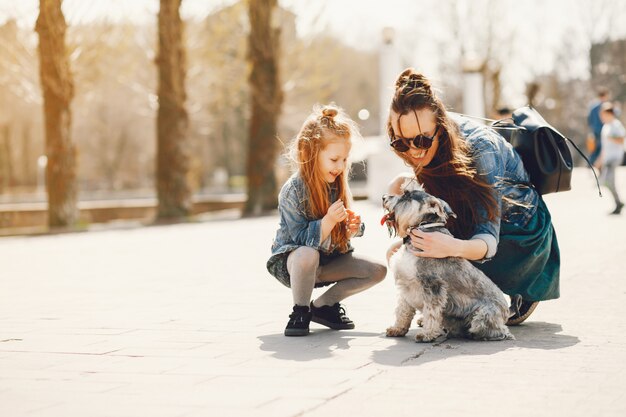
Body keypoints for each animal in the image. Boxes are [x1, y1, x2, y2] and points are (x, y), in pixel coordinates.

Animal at [380, 180, 512, 342]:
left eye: (407, 195)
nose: (384, 197)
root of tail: (505, 313)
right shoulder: (405, 286)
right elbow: (402, 310)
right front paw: (397, 329)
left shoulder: (433, 286)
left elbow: (431, 312)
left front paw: (427, 334)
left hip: (482, 316)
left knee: (498, 331)